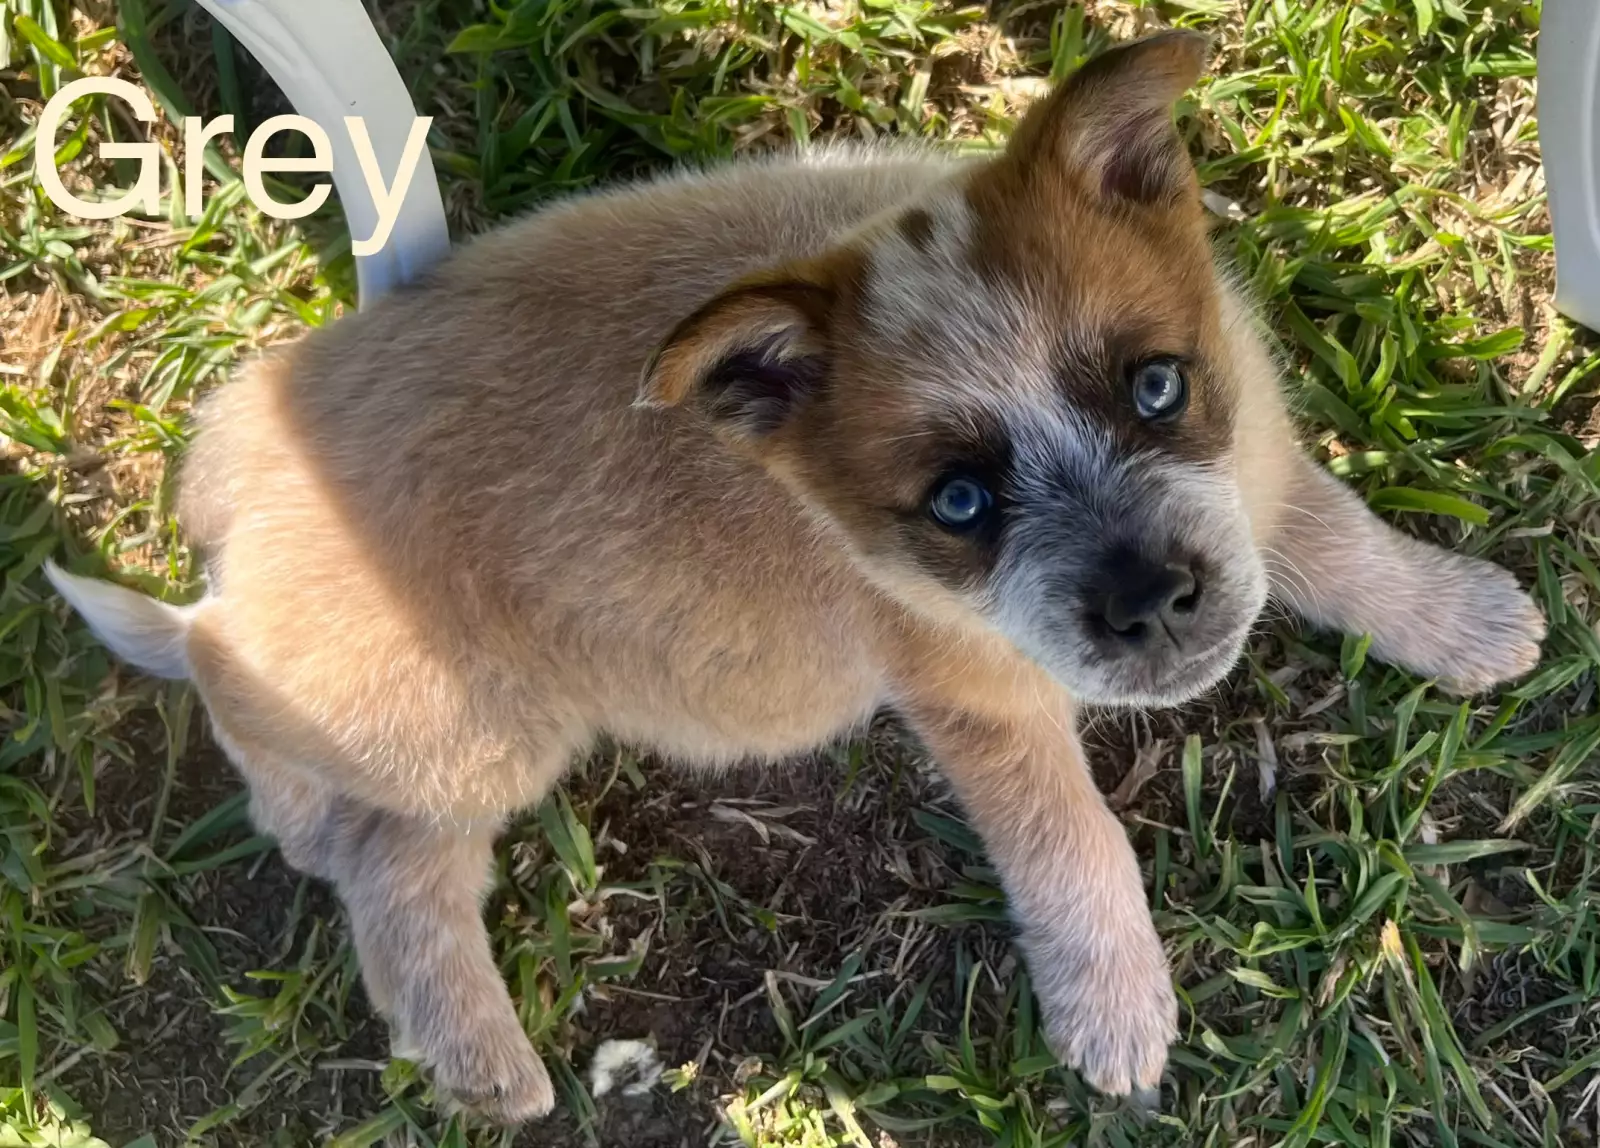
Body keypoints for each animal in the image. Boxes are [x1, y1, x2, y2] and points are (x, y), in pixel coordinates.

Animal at [47, 30, 1545, 1121]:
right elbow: (1072, 841)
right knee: (279, 745)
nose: (1147, 604)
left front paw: (1465, 618)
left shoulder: (1255, 468)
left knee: (365, 834)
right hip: (465, 729)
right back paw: (476, 1048)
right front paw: (1113, 1006)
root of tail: (232, 477)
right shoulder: (977, 700)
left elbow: (1340, 537)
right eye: (958, 501)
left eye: (1156, 386)